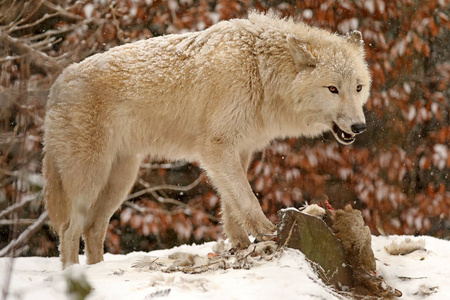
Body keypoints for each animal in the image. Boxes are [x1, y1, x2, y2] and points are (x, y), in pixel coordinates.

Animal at [44, 11, 370, 268]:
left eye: (358, 87)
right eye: (332, 89)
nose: (359, 127)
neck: (259, 71)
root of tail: (58, 82)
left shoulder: (240, 150)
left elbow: (231, 205)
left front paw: (241, 244)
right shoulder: (216, 148)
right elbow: (247, 199)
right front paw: (268, 233)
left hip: (120, 181)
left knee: (93, 230)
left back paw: (96, 271)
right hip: (91, 179)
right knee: (69, 231)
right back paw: (74, 275)